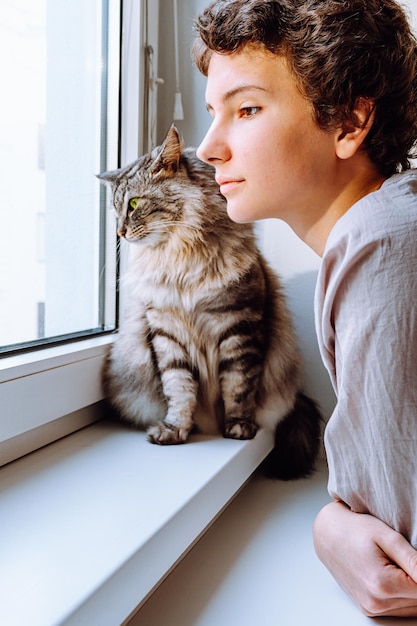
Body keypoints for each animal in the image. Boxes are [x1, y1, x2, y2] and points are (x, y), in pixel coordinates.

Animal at [97, 125, 322, 478]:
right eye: (115, 211)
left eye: (133, 204)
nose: (119, 233)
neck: (179, 258)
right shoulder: (166, 332)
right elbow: (179, 389)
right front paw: (175, 430)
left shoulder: (240, 325)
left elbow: (238, 386)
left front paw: (239, 427)